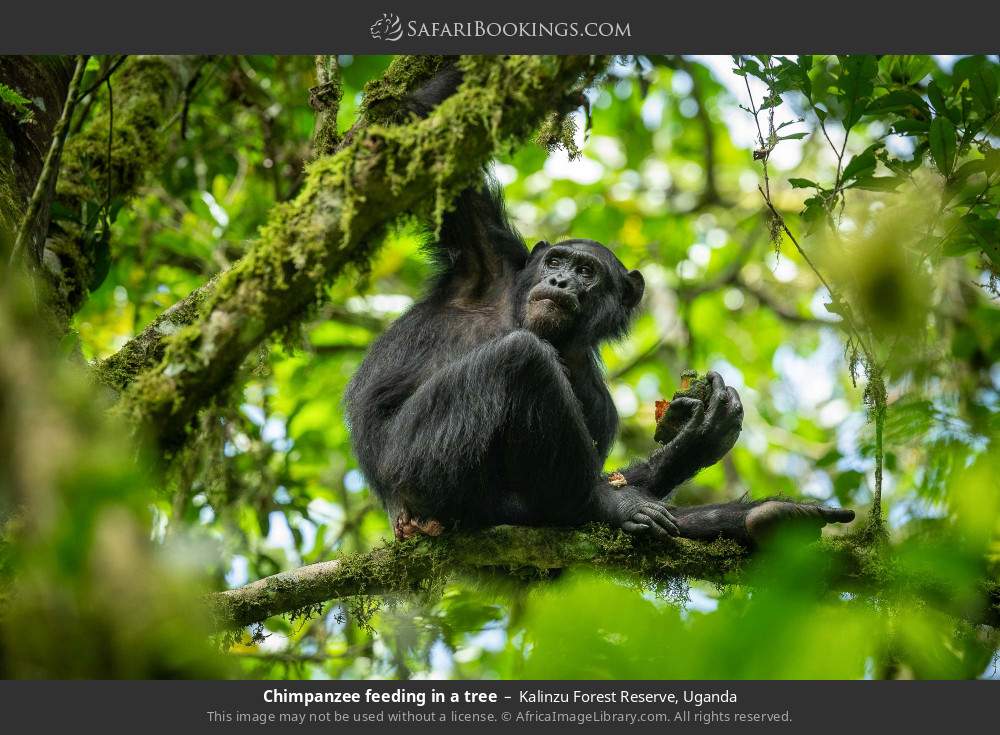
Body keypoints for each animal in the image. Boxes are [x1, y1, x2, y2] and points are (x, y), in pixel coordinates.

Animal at [344, 66, 852, 544]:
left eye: (586, 271)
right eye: (555, 260)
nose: (560, 279)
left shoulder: (598, 397)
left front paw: (696, 439)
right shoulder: (485, 252)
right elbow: (416, 126)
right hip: (417, 467)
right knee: (521, 358)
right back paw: (607, 505)